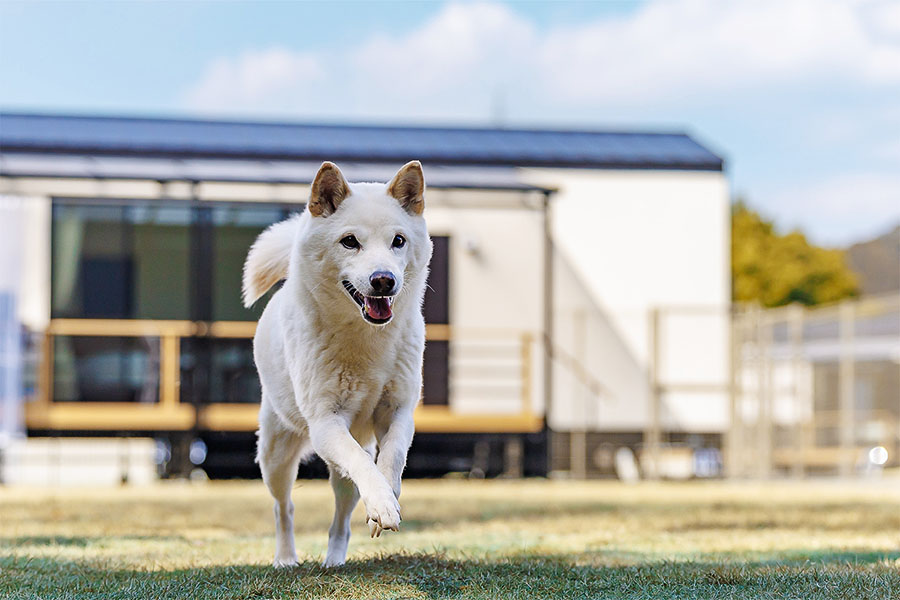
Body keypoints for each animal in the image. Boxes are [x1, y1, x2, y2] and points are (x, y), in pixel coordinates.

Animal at [243, 161, 432, 568]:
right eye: (349, 241)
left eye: (398, 241)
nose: (383, 280)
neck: (366, 338)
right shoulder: (326, 423)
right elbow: (364, 466)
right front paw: (383, 503)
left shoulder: (398, 411)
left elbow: (391, 457)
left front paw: (386, 499)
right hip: (276, 454)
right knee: (284, 508)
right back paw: (286, 558)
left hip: (344, 463)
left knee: (342, 516)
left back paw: (334, 558)